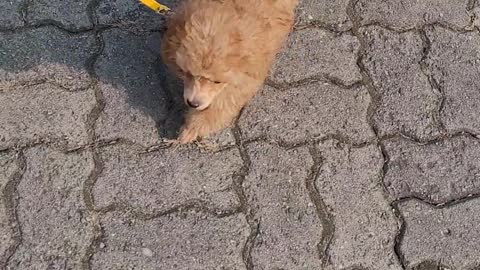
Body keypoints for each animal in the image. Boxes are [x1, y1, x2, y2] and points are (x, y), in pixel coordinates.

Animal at [161, 0, 296, 143]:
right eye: (187, 73)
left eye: (217, 82)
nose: (193, 104)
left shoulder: (249, 72)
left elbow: (227, 99)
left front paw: (195, 126)